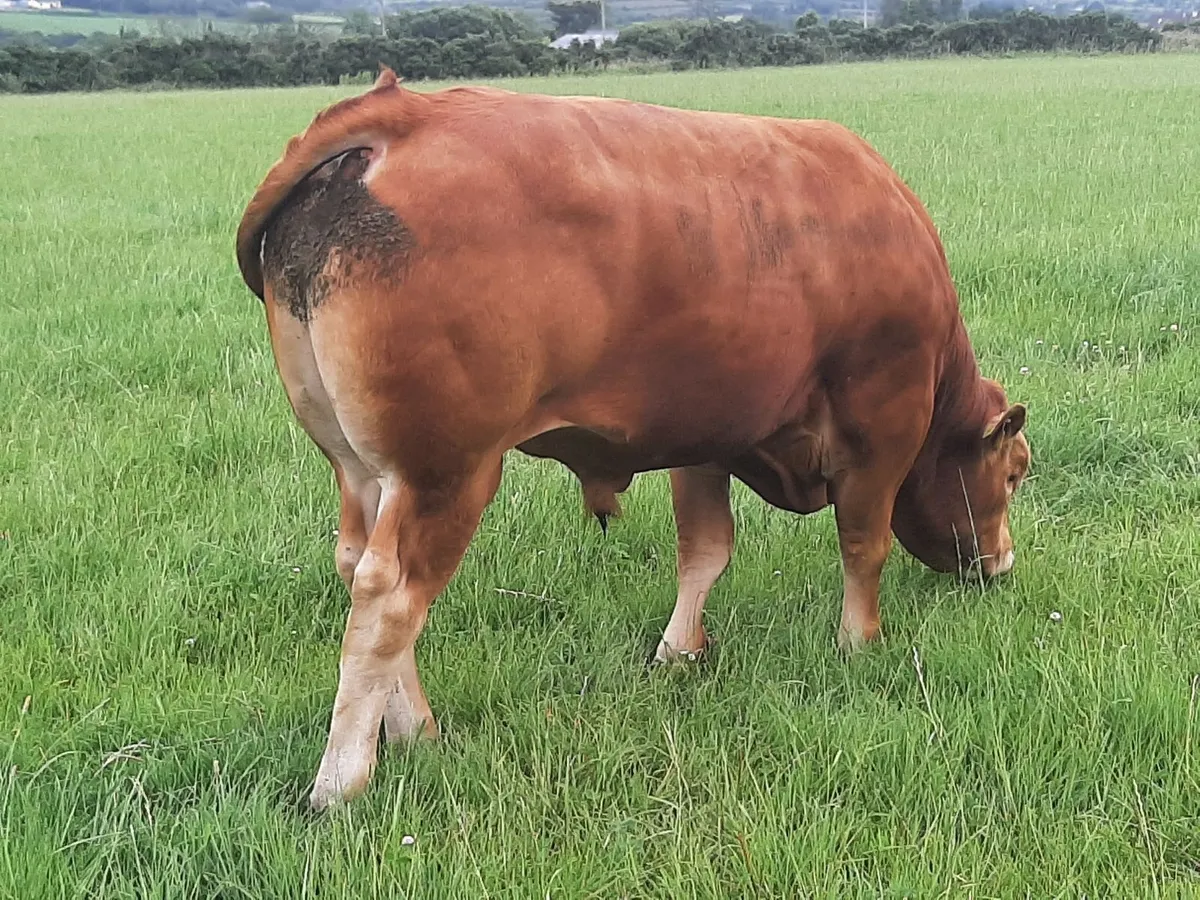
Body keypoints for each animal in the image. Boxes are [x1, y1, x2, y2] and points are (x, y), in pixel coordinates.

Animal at [235, 68, 1030, 810]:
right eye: (1016, 472)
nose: (1002, 563)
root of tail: (406, 116)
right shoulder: (882, 427)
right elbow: (865, 546)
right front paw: (859, 643)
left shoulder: (707, 438)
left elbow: (704, 552)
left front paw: (680, 651)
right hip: (447, 473)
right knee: (389, 598)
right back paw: (344, 779)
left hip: (364, 470)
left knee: (355, 567)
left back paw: (414, 730)